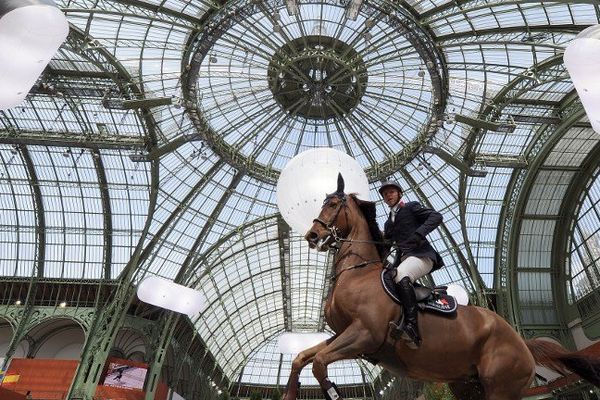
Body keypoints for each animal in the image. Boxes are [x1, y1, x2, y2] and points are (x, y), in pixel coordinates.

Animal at [282, 174, 600, 400]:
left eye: (333, 205)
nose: (312, 235)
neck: (357, 272)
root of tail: (521, 338)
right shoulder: (343, 335)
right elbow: (301, 358)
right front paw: (289, 393)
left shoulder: (364, 335)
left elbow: (319, 363)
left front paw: (333, 392)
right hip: (467, 386)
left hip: (501, 388)